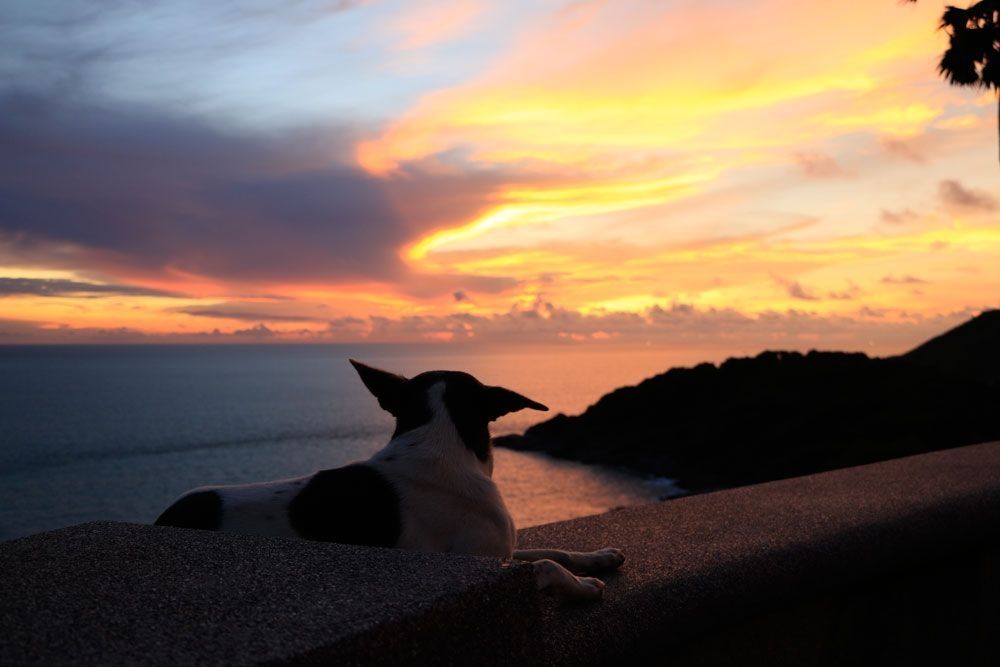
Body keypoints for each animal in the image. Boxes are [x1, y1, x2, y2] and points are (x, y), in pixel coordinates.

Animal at [154, 362, 624, 604]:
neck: (436, 443)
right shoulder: (484, 561)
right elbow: (544, 562)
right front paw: (582, 585)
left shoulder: (498, 553)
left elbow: (551, 549)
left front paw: (599, 556)